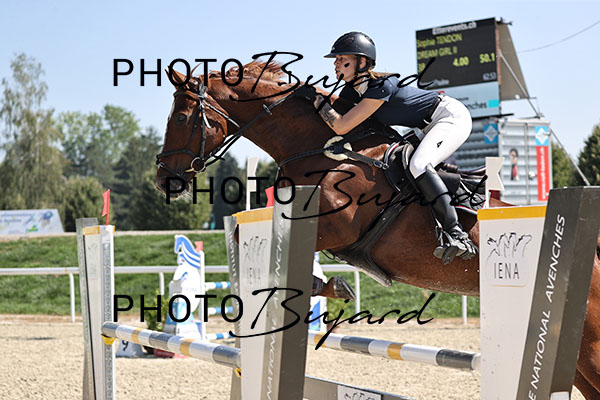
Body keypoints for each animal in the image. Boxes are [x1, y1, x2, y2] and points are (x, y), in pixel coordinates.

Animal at [155, 62, 600, 398]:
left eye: (181, 117)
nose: (163, 180)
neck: (325, 151)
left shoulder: (336, 226)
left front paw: (330, 287)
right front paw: (329, 287)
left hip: (590, 345)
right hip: (580, 357)